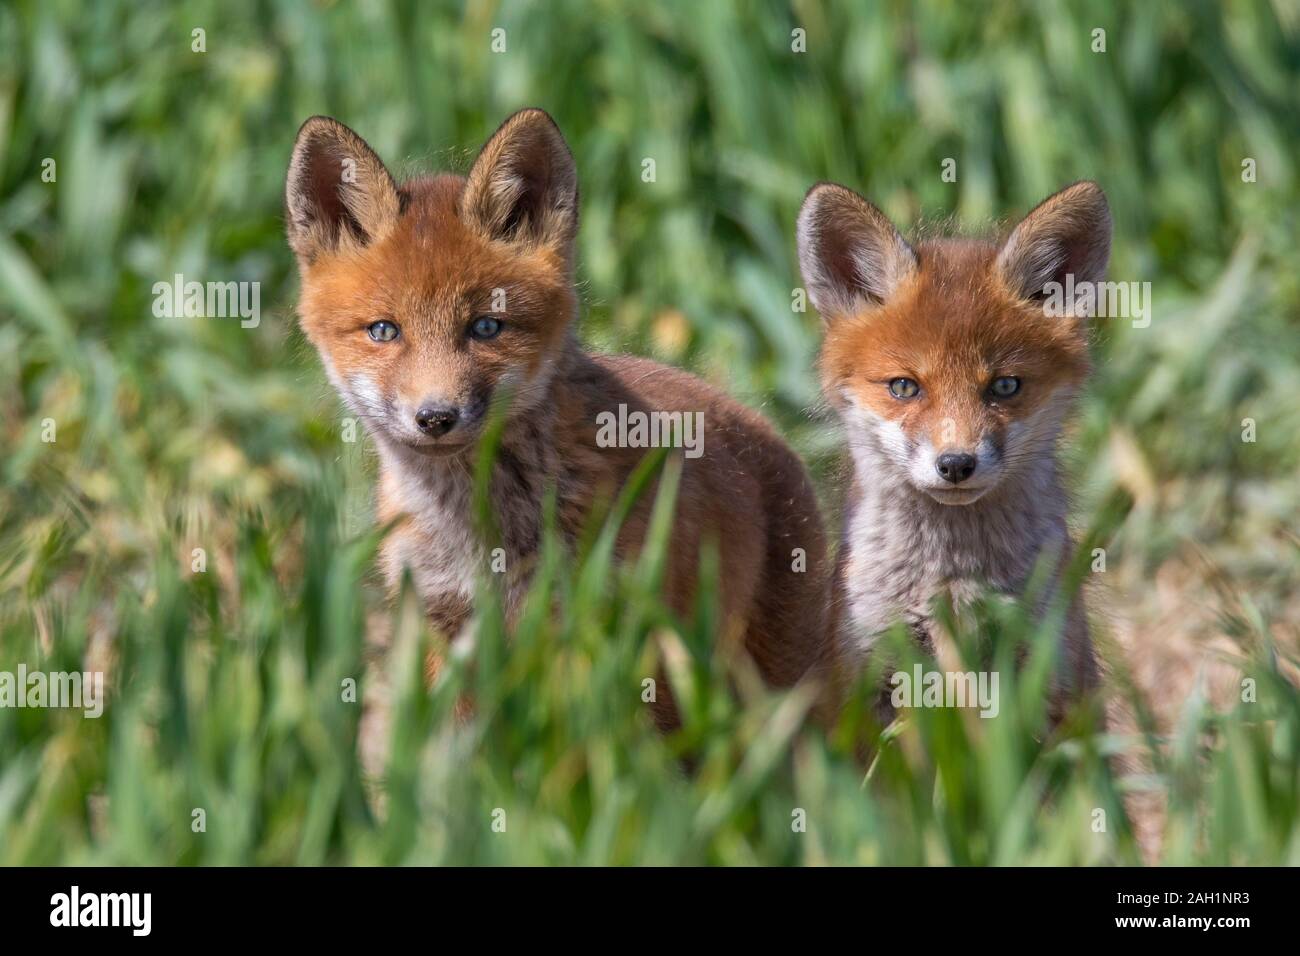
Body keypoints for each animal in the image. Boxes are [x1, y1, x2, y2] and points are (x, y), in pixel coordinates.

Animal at [284, 108, 835, 728]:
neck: (480, 530)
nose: (436, 417)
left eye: (486, 327)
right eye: (384, 330)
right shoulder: (440, 623)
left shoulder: (606, 626)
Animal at [796, 179, 1111, 718]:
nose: (956, 464)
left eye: (1004, 386)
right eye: (904, 387)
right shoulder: (866, 673)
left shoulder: (1050, 670)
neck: (950, 581)